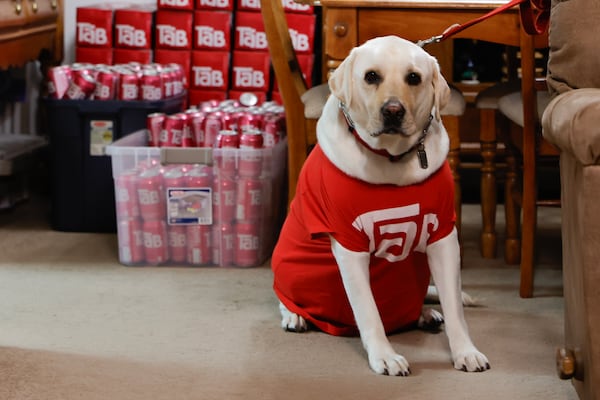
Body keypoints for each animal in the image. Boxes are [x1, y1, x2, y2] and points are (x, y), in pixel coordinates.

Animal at [270, 36, 490, 376]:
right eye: (371, 76)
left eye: (414, 78)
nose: (393, 111)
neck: (392, 158)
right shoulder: (350, 246)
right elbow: (369, 311)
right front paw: (384, 356)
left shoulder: (443, 237)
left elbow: (454, 306)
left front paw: (465, 351)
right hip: (287, 267)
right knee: (285, 297)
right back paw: (295, 315)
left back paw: (424, 314)